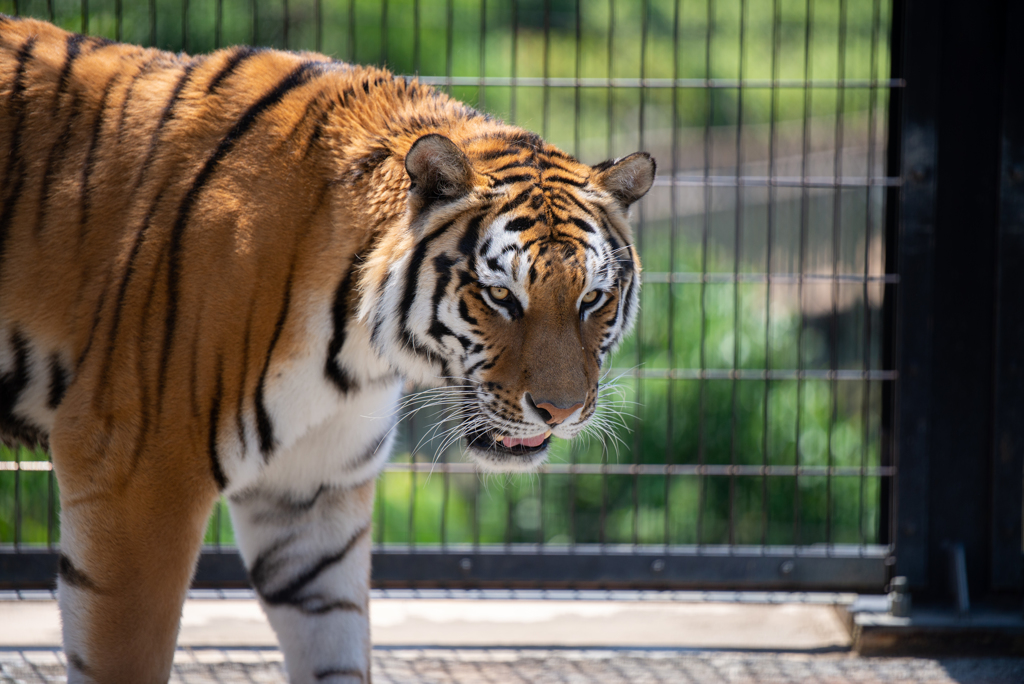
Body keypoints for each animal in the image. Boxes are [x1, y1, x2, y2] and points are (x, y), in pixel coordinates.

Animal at [0, 12, 655, 684]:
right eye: (500, 295)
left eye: (592, 298)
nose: (560, 411)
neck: (358, 350)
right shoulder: (136, 470)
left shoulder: (312, 494)